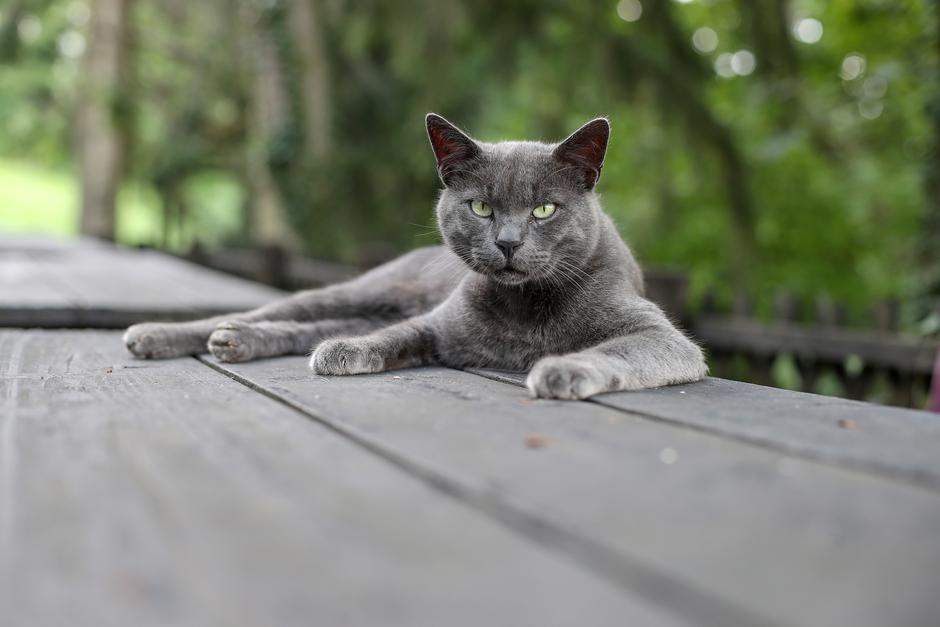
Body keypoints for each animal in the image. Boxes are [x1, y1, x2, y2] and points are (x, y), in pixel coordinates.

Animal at [129, 115, 708, 400]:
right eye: (481, 206)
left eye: (544, 209)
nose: (508, 242)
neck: (525, 311)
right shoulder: (437, 324)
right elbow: (395, 337)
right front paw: (345, 353)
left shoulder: (660, 336)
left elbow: (618, 350)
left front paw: (561, 369)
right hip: (361, 291)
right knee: (277, 313)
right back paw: (162, 334)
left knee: (299, 328)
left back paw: (236, 342)